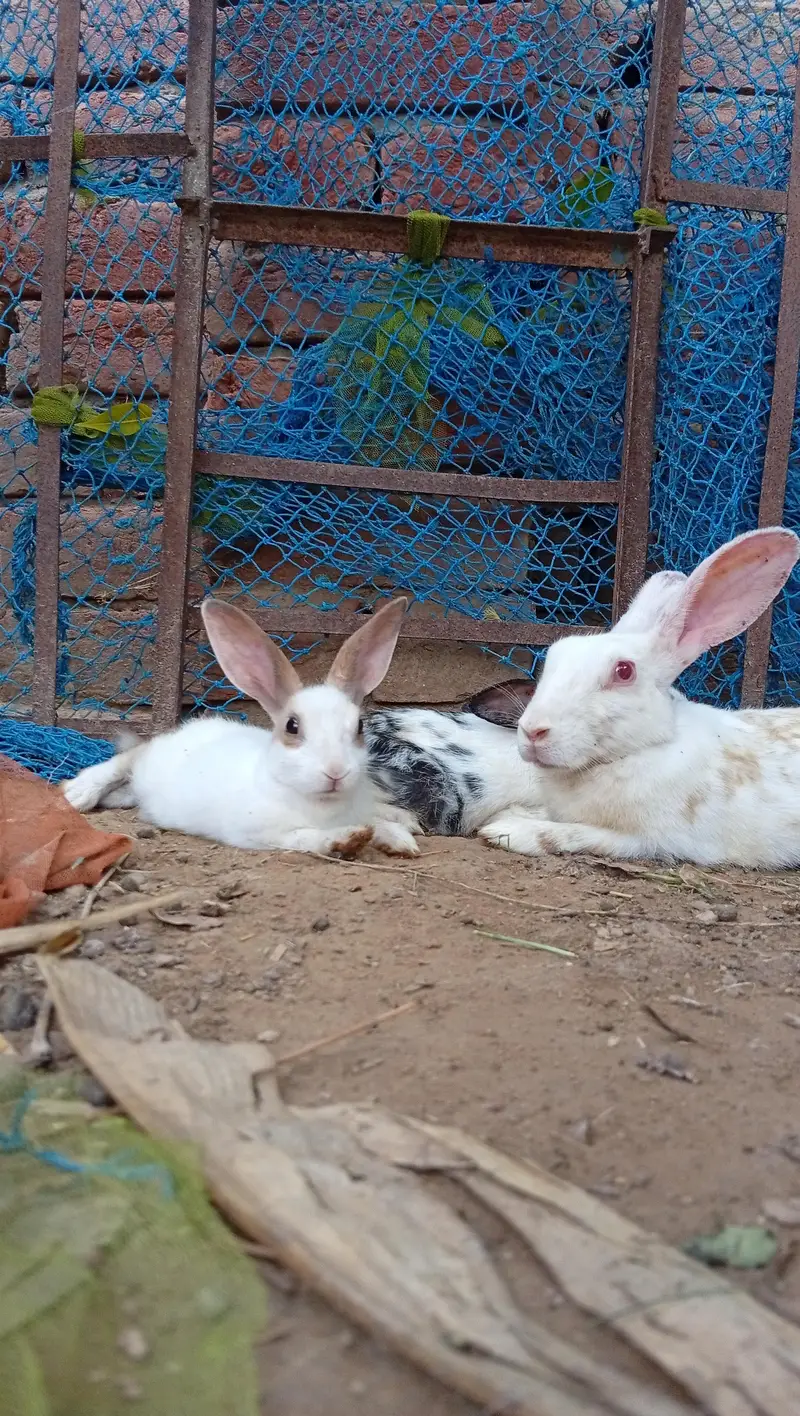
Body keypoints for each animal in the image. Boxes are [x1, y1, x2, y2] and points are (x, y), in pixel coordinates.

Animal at [63, 596, 421, 858]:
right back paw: (76, 794)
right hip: (147, 760)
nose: (336, 772)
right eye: (292, 726)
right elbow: (307, 838)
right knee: (125, 760)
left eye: (359, 727)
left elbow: (374, 821)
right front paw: (346, 840)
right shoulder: (262, 833)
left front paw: (399, 839)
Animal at [478, 527, 800, 868]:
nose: (533, 731)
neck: (645, 748)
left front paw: (508, 830)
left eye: (624, 671)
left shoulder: (648, 840)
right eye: (554, 655)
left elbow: (578, 834)